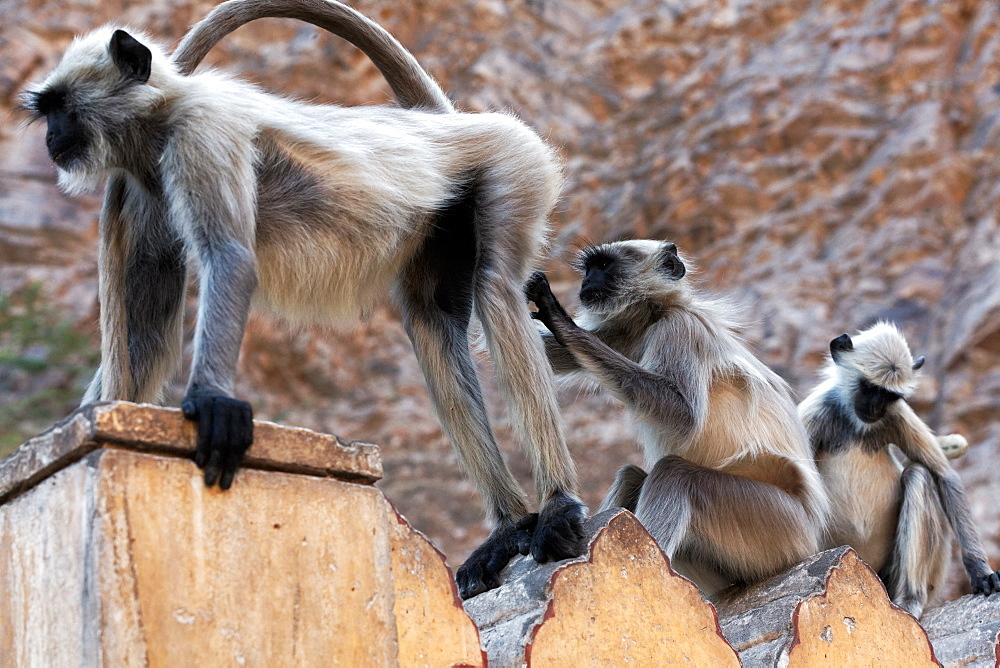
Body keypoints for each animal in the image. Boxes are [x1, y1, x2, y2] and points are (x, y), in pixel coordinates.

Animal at [19, 0, 584, 596]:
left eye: (61, 108)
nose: (52, 138)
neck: (161, 115)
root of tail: (452, 124)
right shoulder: (142, 185)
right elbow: (147, 337)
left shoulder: (201, 132)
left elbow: (231, 259)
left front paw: (213, 403)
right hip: (444, 221)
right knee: (433, 321)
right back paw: (509, 527)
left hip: (512, 164)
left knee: (495, 288)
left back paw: (557, 506)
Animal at [524, 241, 828, 596]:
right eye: (589, 269)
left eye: (603, 266)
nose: (586, 282)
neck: (657, 313)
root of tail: (810, 538)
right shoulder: (625, 333)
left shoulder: (679, 328)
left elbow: (683, 415)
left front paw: (561, 321)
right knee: (632, 476)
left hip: (775, 524)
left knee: (675, 474)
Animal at [796, 324, 1000, 616]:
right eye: (869, 388)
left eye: (889, 395)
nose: (875, 408)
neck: (856, 423)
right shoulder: (815, 413)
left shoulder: (897, 413)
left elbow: (943, 476)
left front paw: (980, 571)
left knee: (918, 475)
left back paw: (910, 599)